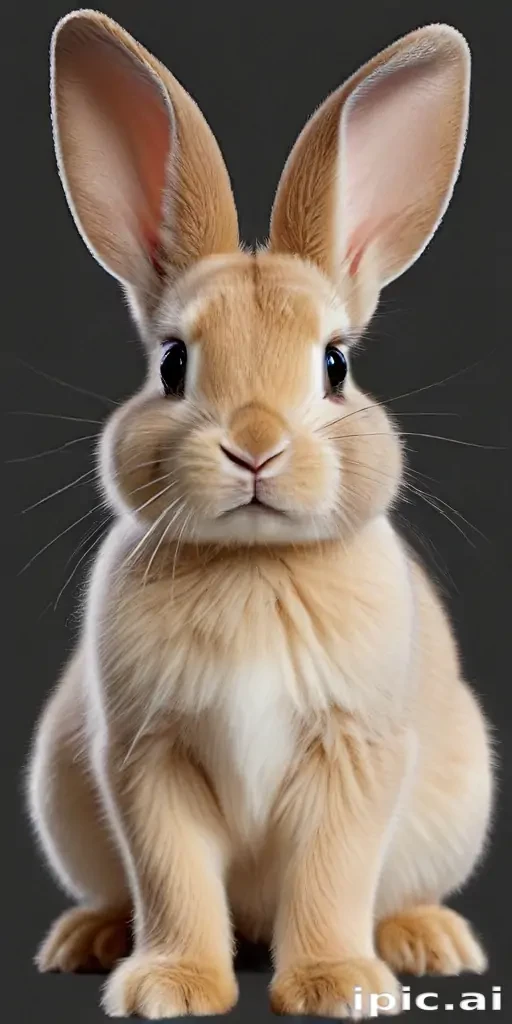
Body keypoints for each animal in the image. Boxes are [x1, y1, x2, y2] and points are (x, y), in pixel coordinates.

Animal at [26, 9, 494, 1020]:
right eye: (172, 364)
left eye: (335, 365)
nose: (254, 446)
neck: (252, 561)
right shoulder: (147, 759)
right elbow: (174, 879)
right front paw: (170, 987)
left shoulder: (353, 755)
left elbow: (329, 877)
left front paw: (332, 985)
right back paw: (88, 940)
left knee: (394, 892)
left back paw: (428, 941)